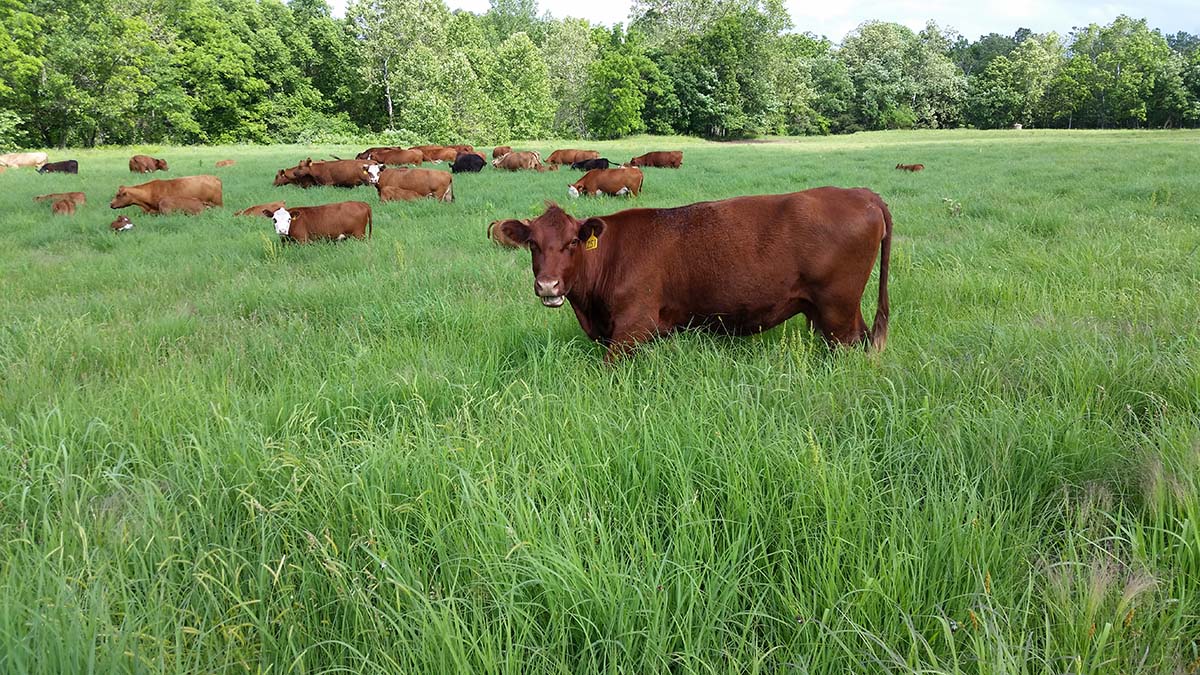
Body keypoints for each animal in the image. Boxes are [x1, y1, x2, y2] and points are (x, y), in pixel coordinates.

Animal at [492, 186, 897, 360]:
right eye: (533, 244)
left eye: (573, 242)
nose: (548, 284)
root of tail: (861, 193)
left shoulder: (633, 327)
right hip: (832, 309)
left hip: (837, 307)